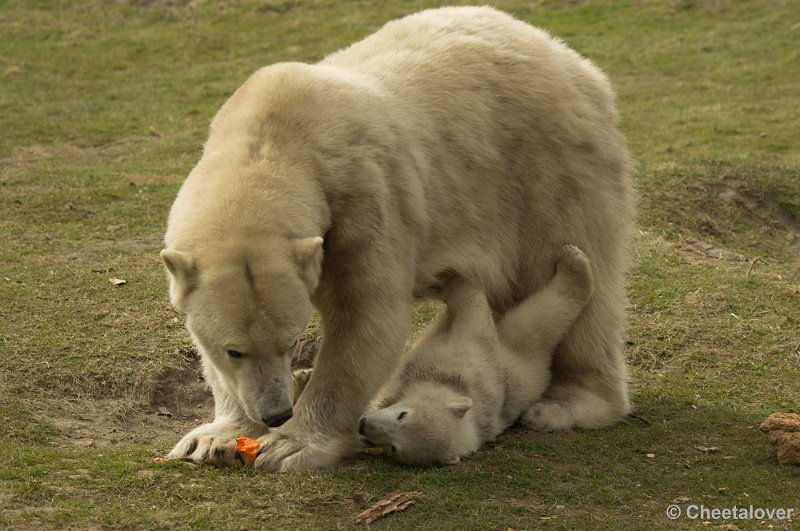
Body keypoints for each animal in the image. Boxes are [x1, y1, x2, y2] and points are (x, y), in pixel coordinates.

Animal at [164, 5, 632, 470]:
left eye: (293, 340)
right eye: (233, 350)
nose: (276, 413)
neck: (276, 140)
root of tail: (572, 60)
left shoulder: (366, 196)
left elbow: (365, 316)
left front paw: (290, 445)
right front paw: (213, 437)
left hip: (548, 171)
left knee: (571, 277)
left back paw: (569, 403)